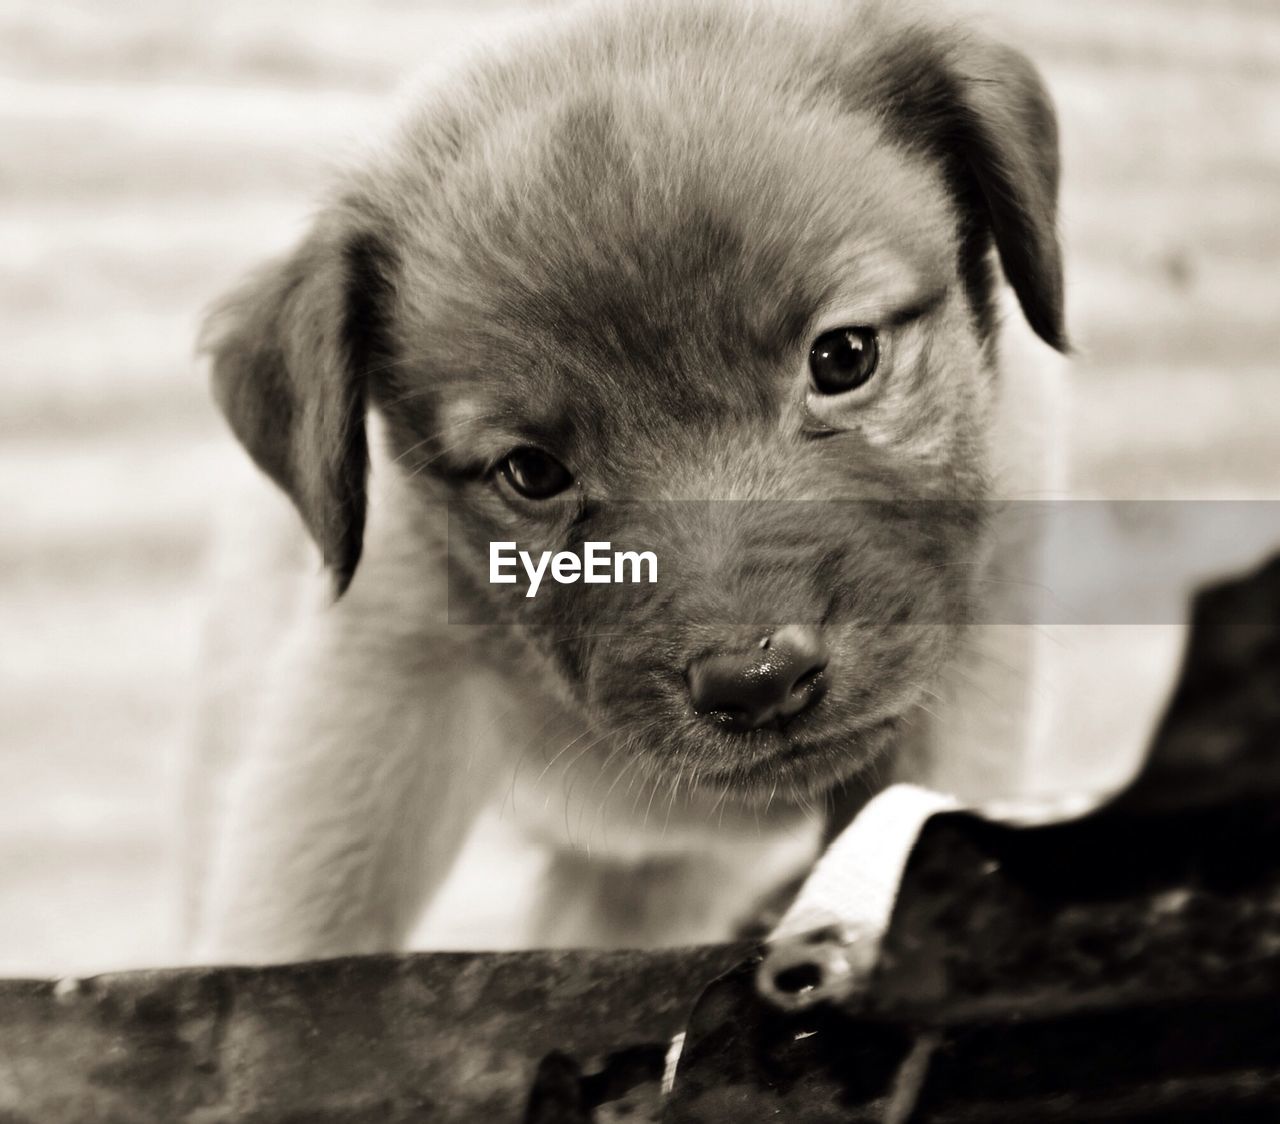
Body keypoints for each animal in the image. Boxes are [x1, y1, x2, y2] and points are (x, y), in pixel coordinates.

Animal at [189, 0, 1070, 962]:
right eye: (532, 471)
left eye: (843, 357)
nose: (756, 681)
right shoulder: (369, 698)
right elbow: (301, 920)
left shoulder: (974, 650)